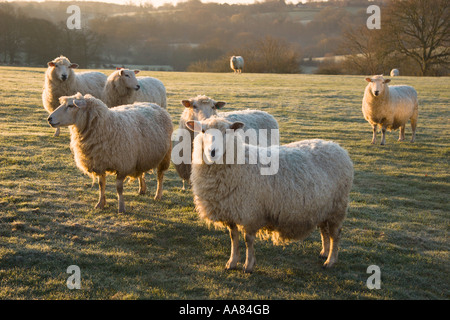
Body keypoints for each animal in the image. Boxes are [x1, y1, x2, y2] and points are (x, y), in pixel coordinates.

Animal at [185, 116, 354, 272]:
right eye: (203, 131)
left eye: (227, 131)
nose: (212, 152)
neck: (240, 163)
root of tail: (337, 147)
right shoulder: (231, 211)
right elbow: (234, 238)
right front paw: (232, 262)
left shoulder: (251, 212)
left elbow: (248, 240)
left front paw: (248, 265)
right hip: (323, 207)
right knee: (324, 230)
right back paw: (324, 252)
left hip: (337, 206)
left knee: (335, 234)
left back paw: (330, 260)